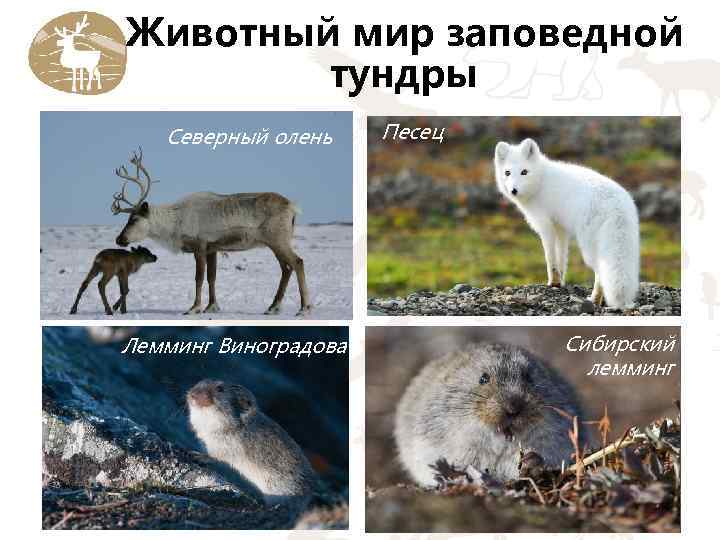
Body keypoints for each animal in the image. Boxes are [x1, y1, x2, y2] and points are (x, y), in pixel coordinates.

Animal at [110, 149, 311, 316]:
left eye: (134, 219)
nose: (119, 239)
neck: (175, 223)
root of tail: (292, 207)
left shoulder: (199, 246)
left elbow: (198, 278)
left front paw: (194, 308)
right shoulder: (212, 249)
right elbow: (211, 277)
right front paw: (211, 306)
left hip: (278, 240)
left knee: (297, 262)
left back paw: (304, 308)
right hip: (275, 243)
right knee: (286, 268)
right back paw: (273, 307)